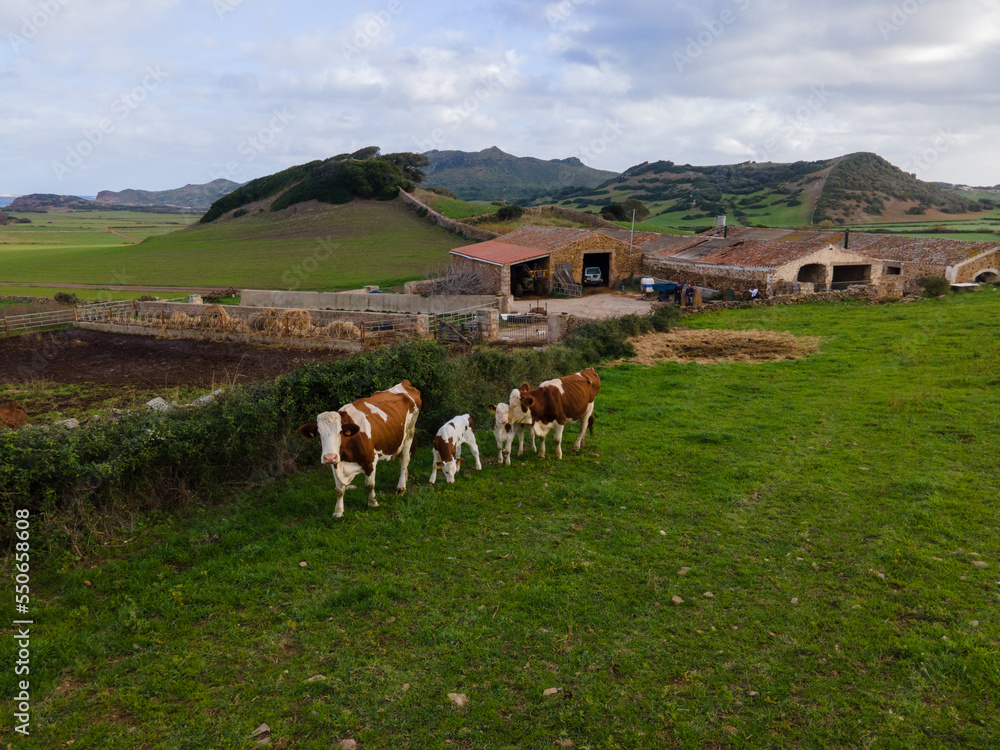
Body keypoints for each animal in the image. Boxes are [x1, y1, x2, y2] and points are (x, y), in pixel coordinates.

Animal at [296, 382, 422, 516]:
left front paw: (373, 503)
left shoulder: (370, 460)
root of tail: (405, 383)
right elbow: (339, 489)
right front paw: (338, 511)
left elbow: (370, 485)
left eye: (340, 432)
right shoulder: (336, 463)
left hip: (409, 433)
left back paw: (401, 487)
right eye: (319, 434)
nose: (329, 457)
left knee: (404, 460)